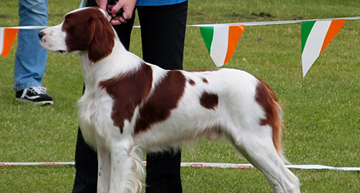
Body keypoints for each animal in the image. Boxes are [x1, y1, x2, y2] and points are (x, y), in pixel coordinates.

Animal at [39, 6, 300, 192]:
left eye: (68, 22)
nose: (40, 33)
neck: (105, 74)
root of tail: (262, 85)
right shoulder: (104, 147)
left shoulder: (121, 146)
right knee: (278, 182)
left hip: (255, 141)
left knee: (289, 181)